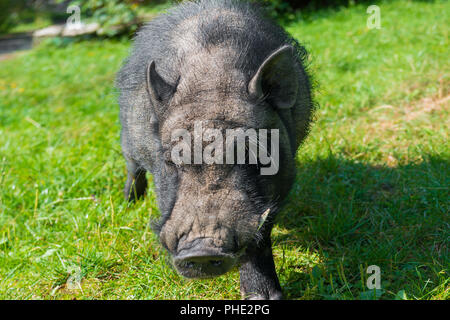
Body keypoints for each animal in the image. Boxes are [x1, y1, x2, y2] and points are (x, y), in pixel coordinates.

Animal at [116, 0, 312, 300]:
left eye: (251, 154)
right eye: (171, 161)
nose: (201, 250)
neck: (213, 75)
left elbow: (260, 237)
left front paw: (264, 297)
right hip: (128, 140)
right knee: (132, 168)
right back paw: (128, 203)